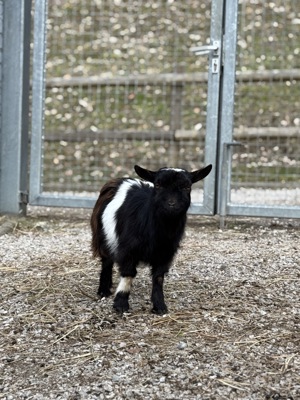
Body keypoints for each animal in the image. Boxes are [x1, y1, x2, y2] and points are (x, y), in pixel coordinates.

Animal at [90, 164, 212, 314]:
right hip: (102, 237)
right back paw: (104, 291)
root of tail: (118, 180)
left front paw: (159, 305)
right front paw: (121, 303)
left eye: (187, 186)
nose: (172, 204)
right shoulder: (128, 249)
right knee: (106, 261)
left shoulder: (166, 252)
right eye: (158, 185)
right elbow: (128, 273)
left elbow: (158, 277)